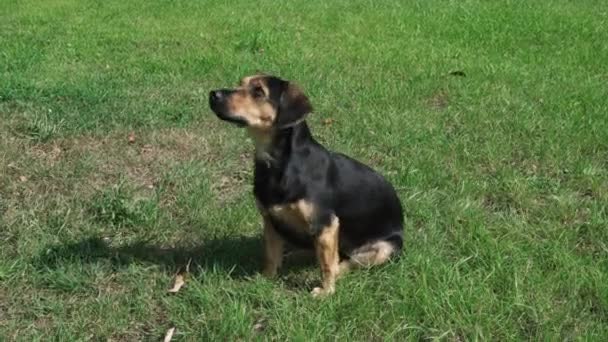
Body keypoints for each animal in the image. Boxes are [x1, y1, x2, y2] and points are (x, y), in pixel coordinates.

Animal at [209, 75, 404, 296]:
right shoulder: (270, 220)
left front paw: (326, 292)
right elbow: (271, 254)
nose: (213, 94)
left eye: (258, 91)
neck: (278, 163)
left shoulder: (325, 224)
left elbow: (326, 264)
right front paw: (266, 278)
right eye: (240, 83)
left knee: (346, 262)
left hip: (384, 248)